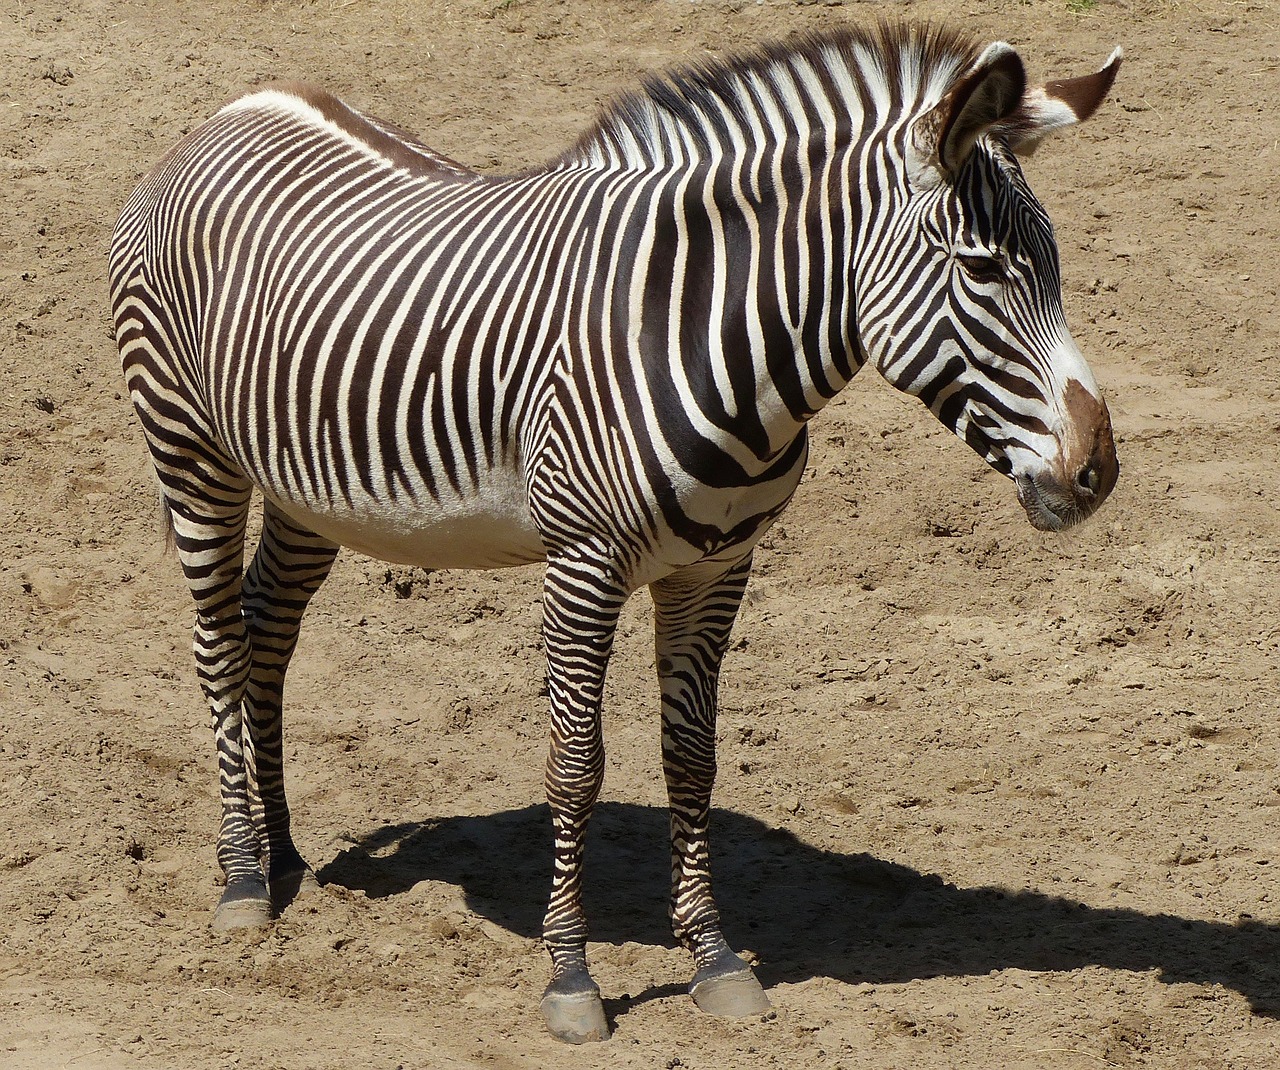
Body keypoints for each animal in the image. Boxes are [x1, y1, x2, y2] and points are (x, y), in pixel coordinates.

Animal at [112, 20, 1121, 1044]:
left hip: (305, 487)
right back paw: (243, 877)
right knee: (219, 643)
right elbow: (575, 767)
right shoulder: (582, 563)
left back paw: (281, 853)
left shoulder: (716, 568)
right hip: (189, 448)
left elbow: (693, 760)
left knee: (267, 633)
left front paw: (714, 960)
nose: (1097, 470)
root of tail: (233, 112)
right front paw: (571, 977)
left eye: (1057, 263)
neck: (715, 342)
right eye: (982, 269)